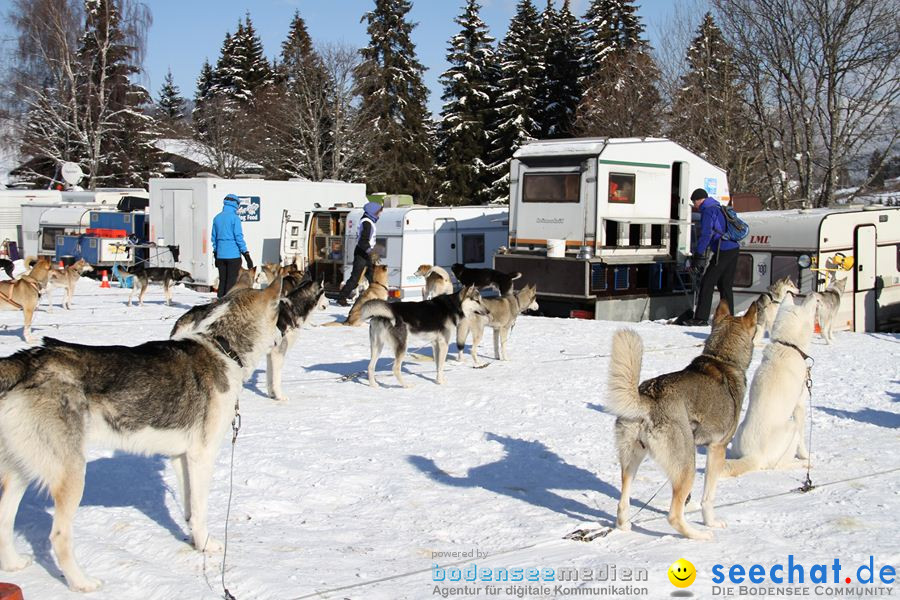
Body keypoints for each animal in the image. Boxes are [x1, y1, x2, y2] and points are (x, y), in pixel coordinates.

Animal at [0, 282, 282, 592]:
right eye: (279, 315)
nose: (282, 335)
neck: (221, 346)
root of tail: (28, 359)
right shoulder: (202, 457)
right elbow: (200, 509)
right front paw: (206, 544)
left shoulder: (180, 457)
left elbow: (189, 509)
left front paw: (193, 539)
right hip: (71, 473)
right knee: (59, 536)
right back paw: (81, 582)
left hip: (23, 470)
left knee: (4, 521)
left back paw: (14, 564)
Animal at [360, 288, 488, 390]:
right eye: (477, 300)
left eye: (481, 300)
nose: (488, 311)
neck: (454, 305)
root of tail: (381, 315)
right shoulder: (444, 344)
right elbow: (441, 365)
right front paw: (441, 382)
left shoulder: (435, 344)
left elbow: (438, 365)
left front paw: (438, 380)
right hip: (402, 347)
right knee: (395, 369)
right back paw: (406, 385)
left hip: (377, 347)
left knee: (370, 367)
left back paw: (373, 385)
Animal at [604, 300, 760, 540]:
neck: (722, 358)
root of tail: (649, 396)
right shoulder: (717, 448)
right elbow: (708, 498)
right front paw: (711, 522)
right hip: (688, 465)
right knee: (674, 516)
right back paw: (699, 535)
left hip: (632, 460)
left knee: (623, 503)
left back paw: (625, 526)